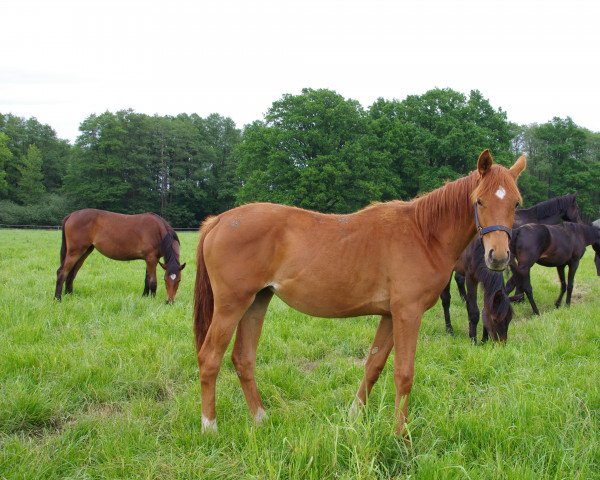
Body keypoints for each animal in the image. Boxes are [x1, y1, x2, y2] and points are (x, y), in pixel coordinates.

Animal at [54, 208, 185, 302]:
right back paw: (57, 299)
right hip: (75, 252)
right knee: (62, 272)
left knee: (71, 274)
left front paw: (144, 297)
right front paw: (152, 300)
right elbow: (152, 282)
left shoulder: (150, 259)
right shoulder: (151, 259)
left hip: (84, 252)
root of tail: (71, 215)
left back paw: (69, 296)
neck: (158, 231)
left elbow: (146, 279)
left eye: (179, 280)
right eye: (165, 280)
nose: (170, 301)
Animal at [193, 150, 524, 436]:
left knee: (243, 359)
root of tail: (219, 220)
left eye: (516, 204)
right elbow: (404, 374)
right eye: (479, 201)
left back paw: (261, 419)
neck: (423, 233)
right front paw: (400, 435)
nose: (498, 256)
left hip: (257, 302)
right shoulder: (408, 314)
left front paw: (354, 417)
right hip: (231, 305)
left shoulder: (390, 315)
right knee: (210, 358)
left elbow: (373, 367)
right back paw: (209, 427)